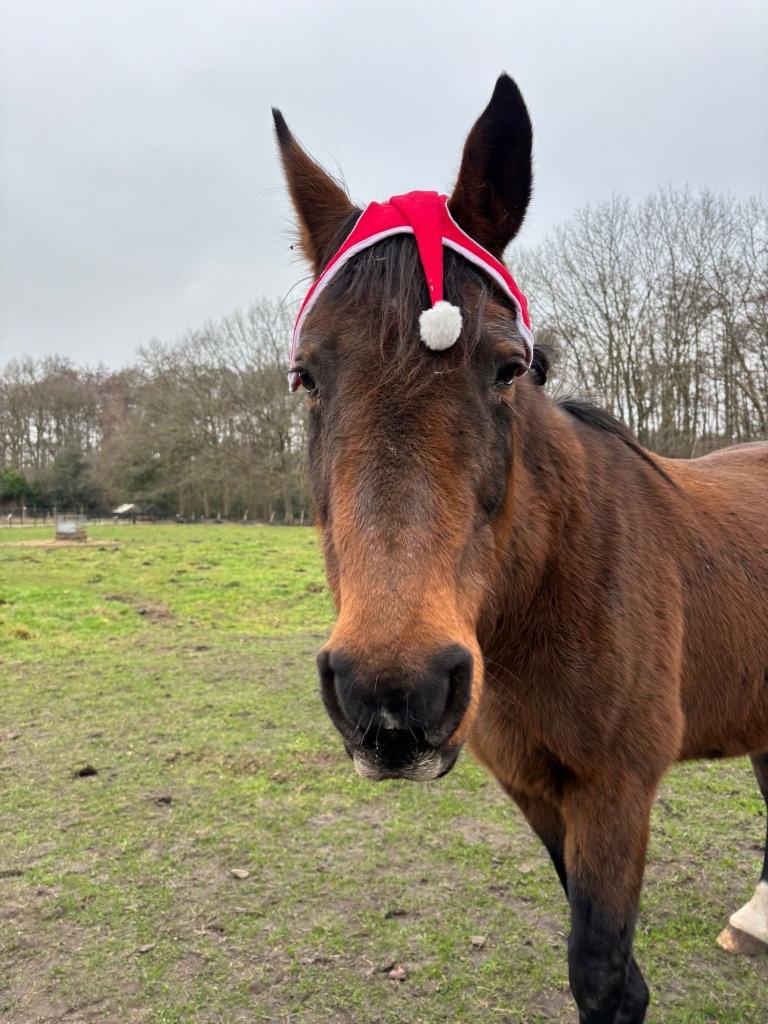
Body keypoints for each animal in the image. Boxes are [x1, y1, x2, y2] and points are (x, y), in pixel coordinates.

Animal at [272, 74, 768, 1022]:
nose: (392, 695)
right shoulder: (538, 790)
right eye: (306, 375)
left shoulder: (615, 790)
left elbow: (605, 974)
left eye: (508, 367)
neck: (554, 585)